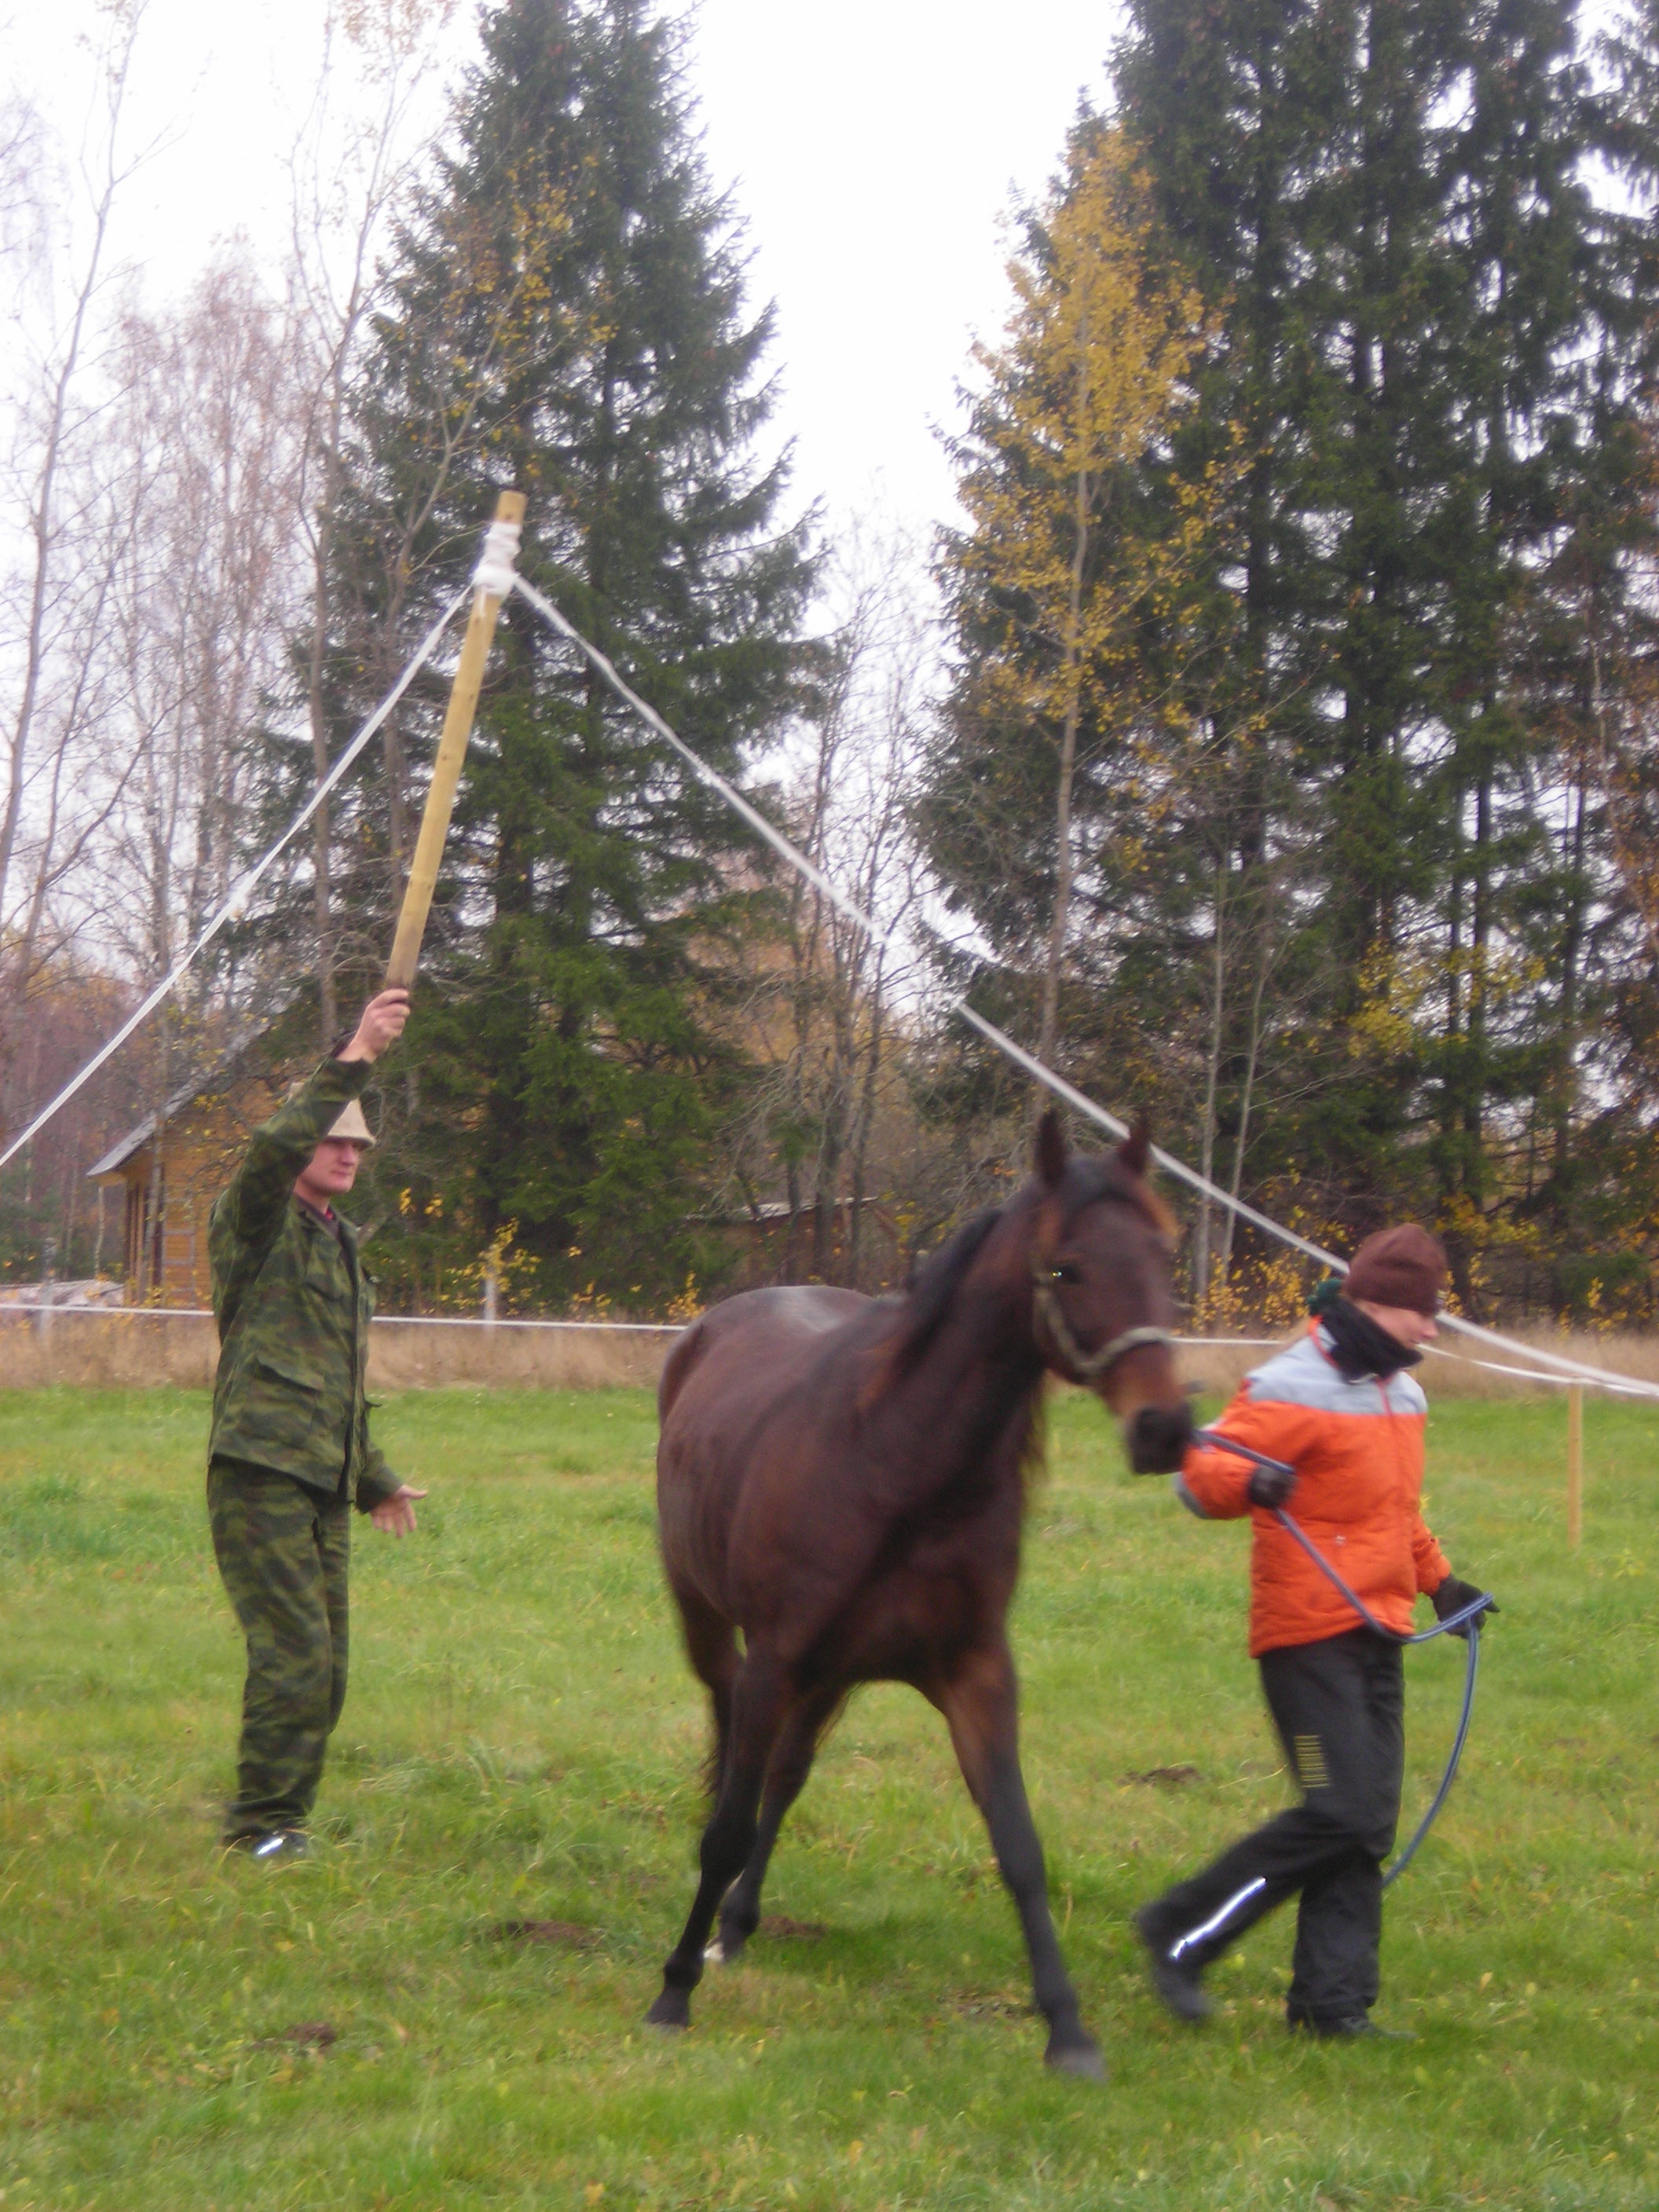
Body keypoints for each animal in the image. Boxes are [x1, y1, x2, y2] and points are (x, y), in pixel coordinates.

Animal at [650, 1115, 1194, 2079]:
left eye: (1165, 1254)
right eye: (1066, 1268)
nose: (1163, 1427)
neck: (896, 1463)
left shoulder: (973, 1671)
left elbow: (1019, 1845)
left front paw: (1068, 2029)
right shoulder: (774, 1660)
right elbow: (726, 1826)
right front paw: (674, 1991)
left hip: (827, 1674)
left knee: (784, 1779)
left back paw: (740, 1926)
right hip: (715, 1630)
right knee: (731, 1758)